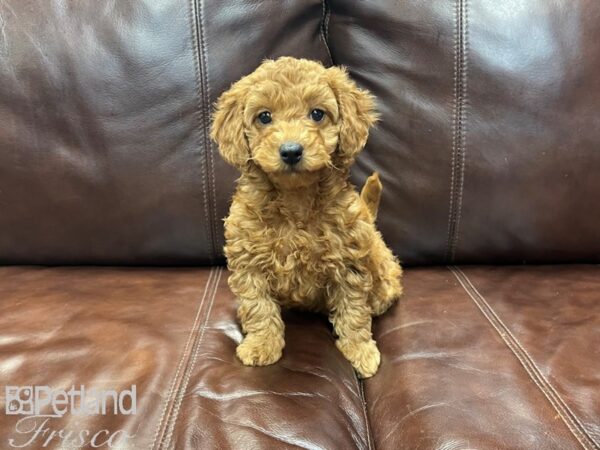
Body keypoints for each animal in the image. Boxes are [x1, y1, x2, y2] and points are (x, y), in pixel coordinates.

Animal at [211, 57, 404, 380]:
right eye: (264, 117)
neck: (295, 197)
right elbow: (258, 306)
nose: (291, 151)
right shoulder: (248, 260)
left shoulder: (349, 262)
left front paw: (360, 350)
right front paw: (261, 345)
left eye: (317, 114)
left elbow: (353, 311)